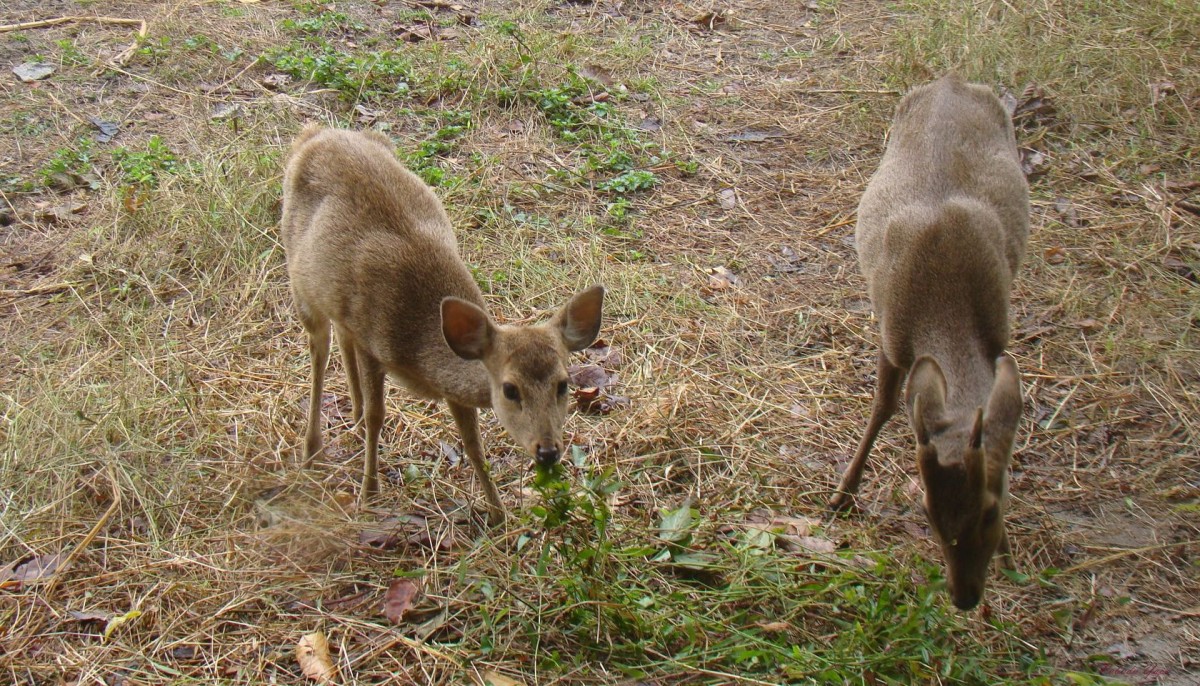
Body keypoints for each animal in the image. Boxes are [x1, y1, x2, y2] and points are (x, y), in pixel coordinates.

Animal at [277, 125, 604, 525]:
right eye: (510, 389)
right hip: (299, 281)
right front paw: (370, 492)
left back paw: (349, 417)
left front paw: (498, 512)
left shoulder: (451, 387)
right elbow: (377, 416)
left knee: (341, 338)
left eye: (564, 384)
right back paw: (312, 449)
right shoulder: (372, 342)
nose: (548, 451)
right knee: (319, 351)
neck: (415, 344)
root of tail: (315, 132)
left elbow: (473, 445)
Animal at [825, 76, 1032, 611]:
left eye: (992, 508)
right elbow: (882, 406)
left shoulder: (999, 336)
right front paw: (843, 493)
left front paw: (1011, 554)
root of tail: (952, 79)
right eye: (929, 512)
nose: (964, 597)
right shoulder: (893, 334)